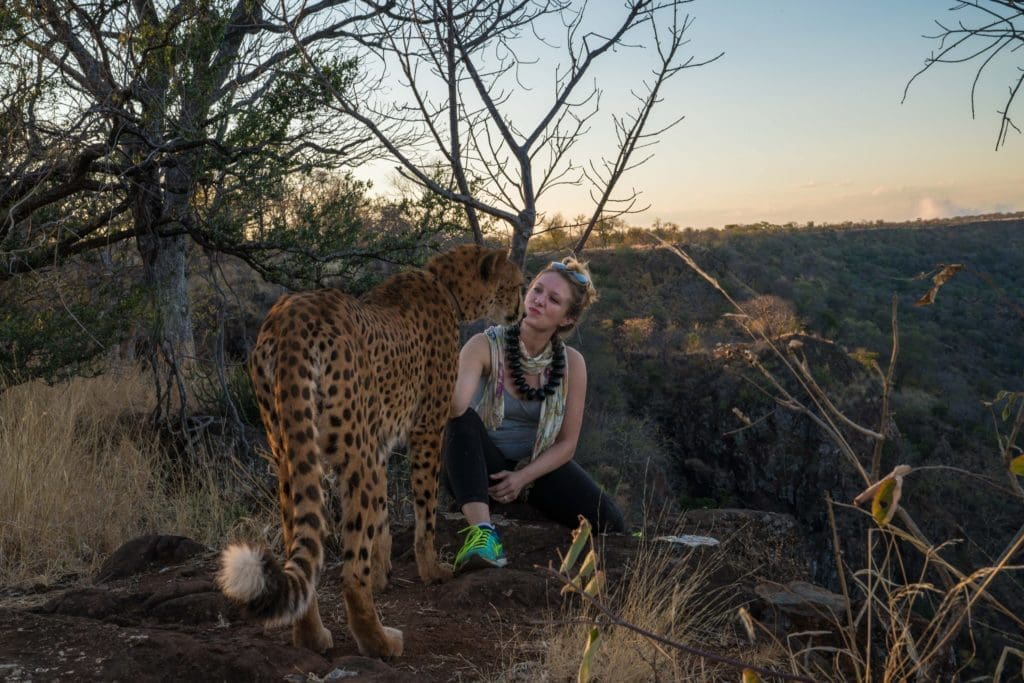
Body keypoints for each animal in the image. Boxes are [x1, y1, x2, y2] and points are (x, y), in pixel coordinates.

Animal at [218, 245, 524, 658]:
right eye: (517, 285)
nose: (521, 312)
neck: (446, 286)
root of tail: (291, 315)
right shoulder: (426, 429)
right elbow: (423, 512)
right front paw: (431, 571)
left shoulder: (377, 444)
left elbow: (379, 518)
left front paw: (381, 573)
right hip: (352, 455)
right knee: (349, 572)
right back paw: (379, 641)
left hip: (291, 454)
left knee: (300, 538)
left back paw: (312, 637)